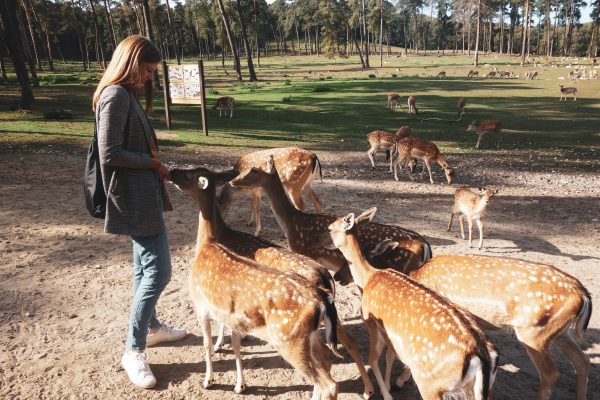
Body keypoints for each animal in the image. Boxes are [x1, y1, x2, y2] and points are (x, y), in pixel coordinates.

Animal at [171, 165, 340, 396]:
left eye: (189, 175)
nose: (171, 172)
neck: (208, 243)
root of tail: (322, 297)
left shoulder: (200, 303)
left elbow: (206, 343)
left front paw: (209, 380)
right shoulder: (232, 312)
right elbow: (235, 342)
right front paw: (239, 383)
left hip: (289, 340)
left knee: (328, 382)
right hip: (310, 338)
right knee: (327, 365)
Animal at [326, 208, 500, 400]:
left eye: (331, 228)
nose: (336, 276)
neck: (368, 277)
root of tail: (482, 357)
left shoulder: (372, 324)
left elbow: (372, 359)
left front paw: (380, 393)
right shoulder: (392, 336)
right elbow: (390, 356)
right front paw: (388, 387)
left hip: (430, 384)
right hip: (481, 389)